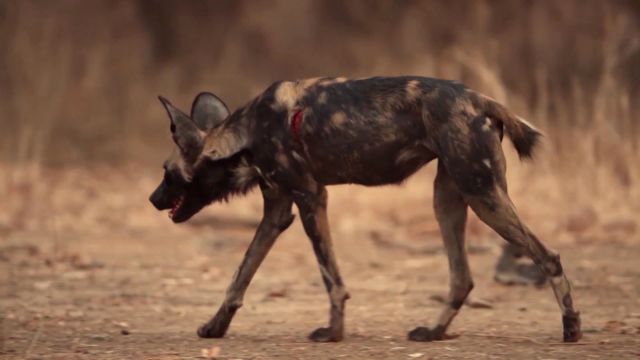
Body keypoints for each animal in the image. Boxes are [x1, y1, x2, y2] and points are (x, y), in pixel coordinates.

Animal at [149, 76, 580, 344]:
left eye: (168, 173)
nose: (153, 200)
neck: (245, 133)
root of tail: (478, 98)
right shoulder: (277, 212)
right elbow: (239, 278)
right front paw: (215, 327)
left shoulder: (311, 197)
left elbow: (331, 280)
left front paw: (333, 333)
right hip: (449, 199)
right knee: (462, 278)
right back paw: (433, 333)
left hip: (482, 196)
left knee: (548, 256)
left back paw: (571, 328)